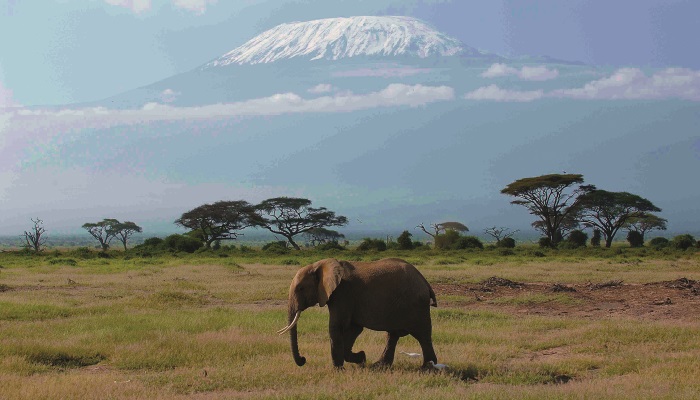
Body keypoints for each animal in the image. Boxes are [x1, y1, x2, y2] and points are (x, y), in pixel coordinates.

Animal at [278, 256, 438, 368]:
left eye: (300, 288)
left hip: (417, 306)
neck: (320, 264)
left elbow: (337, 327)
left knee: (423, 335)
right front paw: (361, 358)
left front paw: (338, 369)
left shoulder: (343, 294)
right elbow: (353, 329)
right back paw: (378, 366)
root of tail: (424, 281)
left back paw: (428, 368)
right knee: (393, 335)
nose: (303, 359)